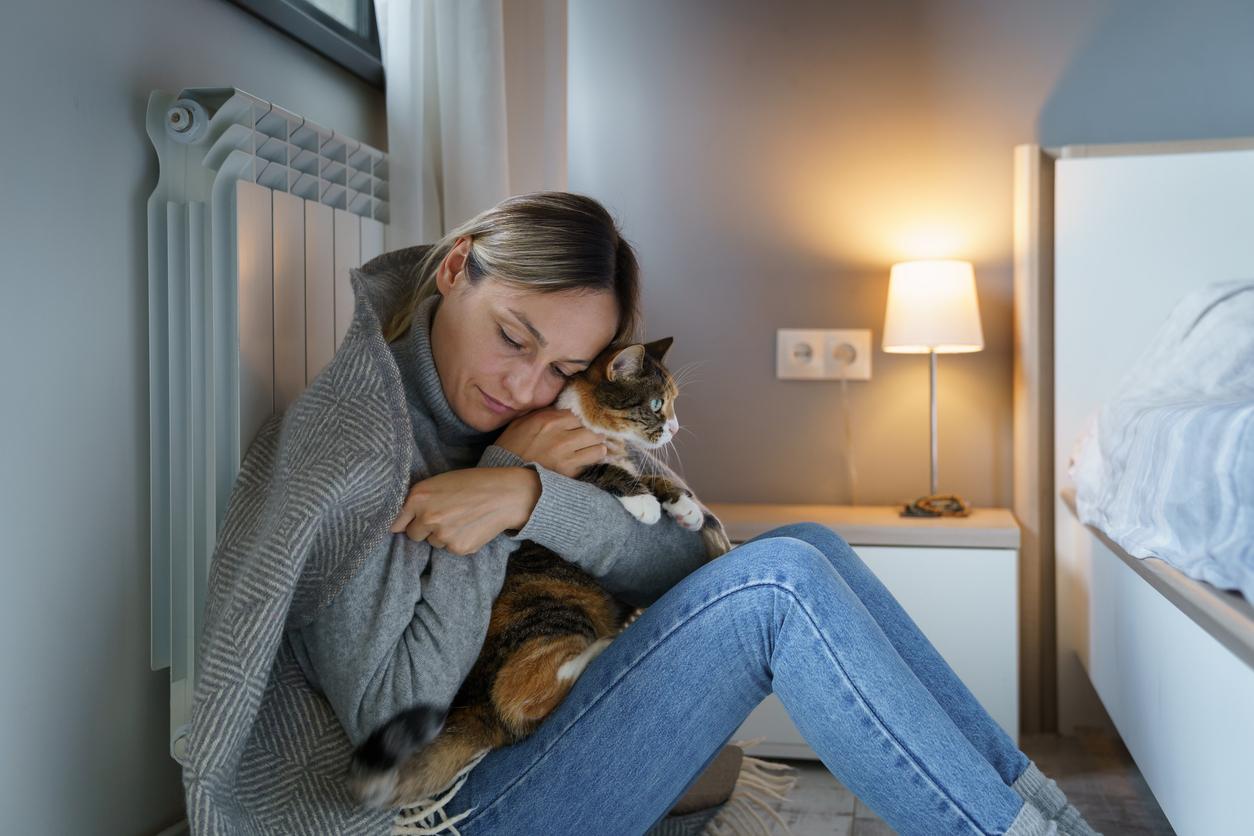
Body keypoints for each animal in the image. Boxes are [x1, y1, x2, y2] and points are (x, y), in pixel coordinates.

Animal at [348, 335, 732, 812]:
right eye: (657, 403)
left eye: (673, 402)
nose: (676, 428)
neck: (595, 429)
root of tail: (476, 709)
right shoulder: (574, 464)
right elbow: (604, 472)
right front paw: (644, 502)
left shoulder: (627, 457)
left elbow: (649, 476)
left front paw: (685, 507)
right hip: (554, 612)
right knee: (522, 698)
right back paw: (607, 645)